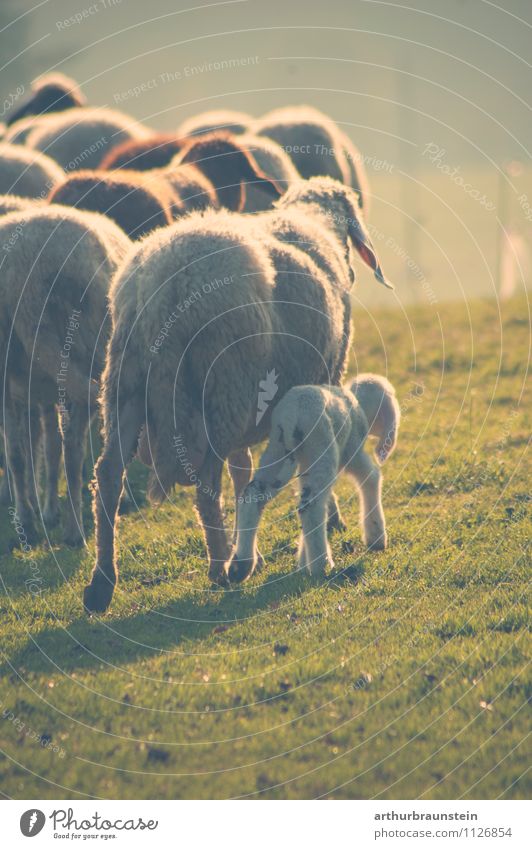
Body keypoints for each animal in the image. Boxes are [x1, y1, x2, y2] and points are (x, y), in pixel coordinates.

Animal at [228, 378, 400, 584]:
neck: (356, 402)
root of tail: (291, 418)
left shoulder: (306, 467)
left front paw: (303, 562)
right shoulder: (352, 449)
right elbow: (371, 477)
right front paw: (376, 537)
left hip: (277, 452)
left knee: (253, 496)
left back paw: (241, 565)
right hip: (321, 450)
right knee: (311, 507)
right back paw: (322, 565)